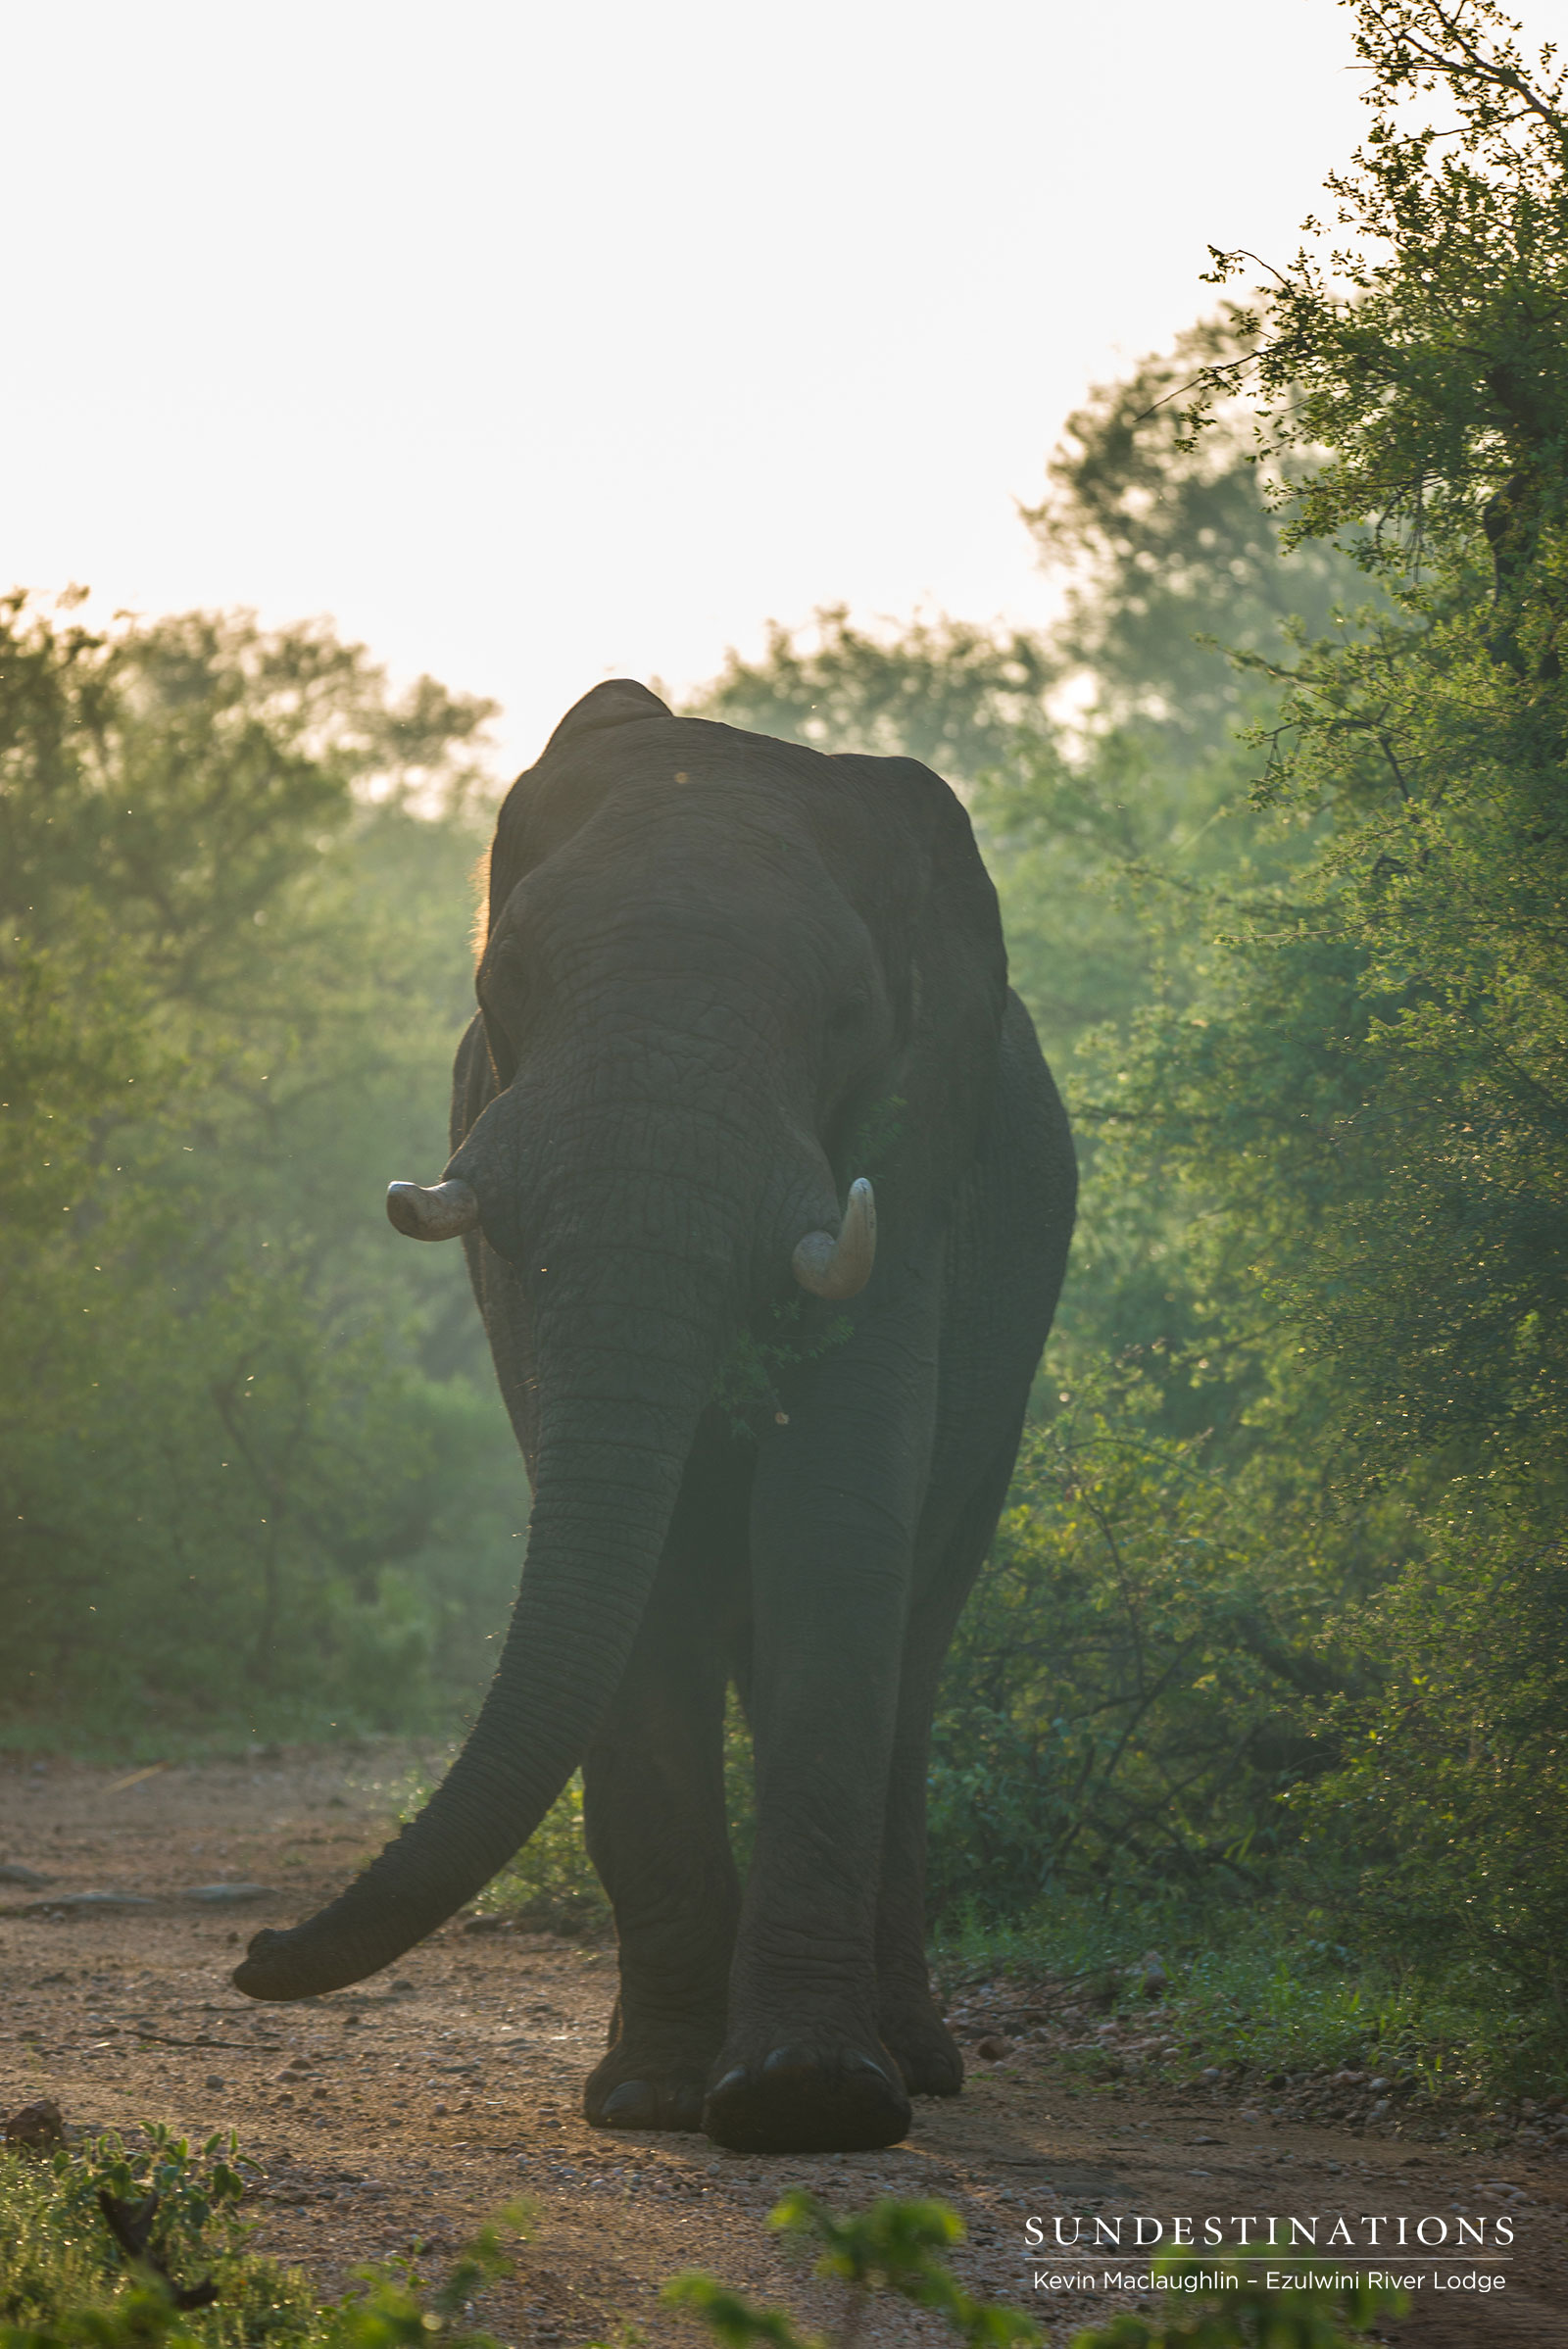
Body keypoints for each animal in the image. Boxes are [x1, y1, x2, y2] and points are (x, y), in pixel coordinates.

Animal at [234, 679, 1075, 2156]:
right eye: (504, 984)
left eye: (847, 1015)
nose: (251, 1951)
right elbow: (646, 1568)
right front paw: (654, 2097)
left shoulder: (911, 1170)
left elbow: (832, 1529)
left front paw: (806, 2100)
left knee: (917, 1633)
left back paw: (916, 2065)